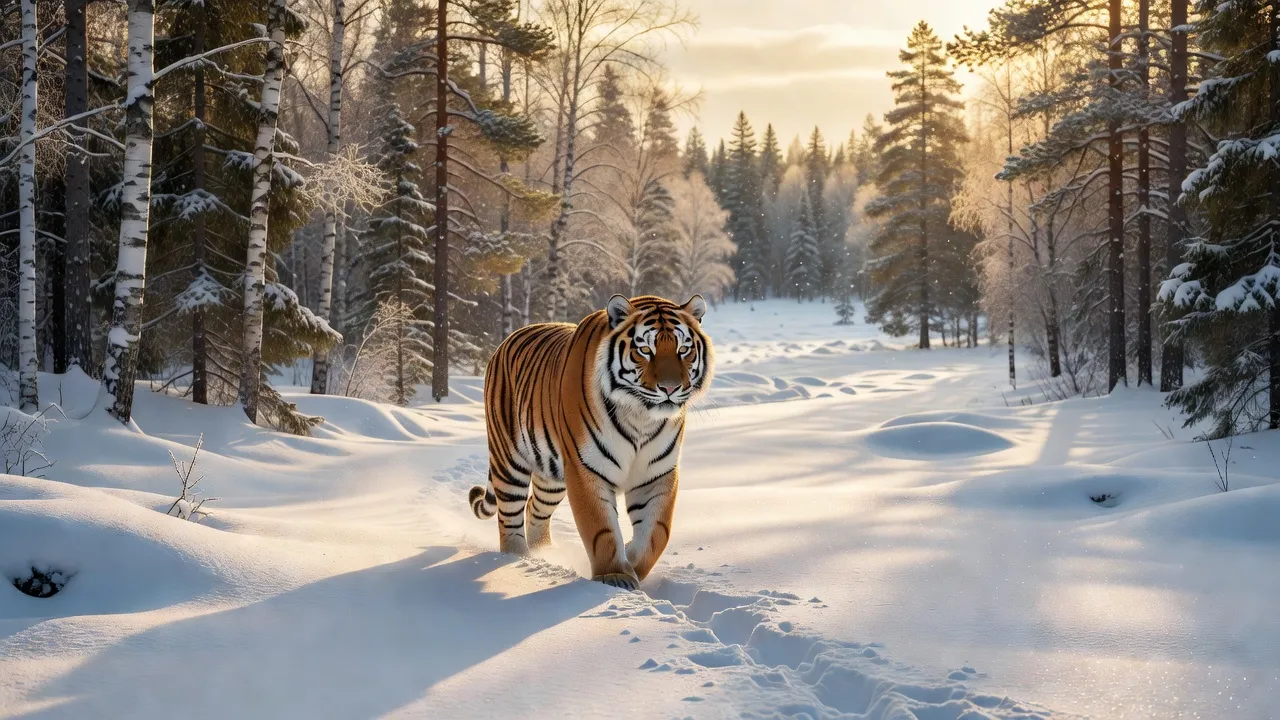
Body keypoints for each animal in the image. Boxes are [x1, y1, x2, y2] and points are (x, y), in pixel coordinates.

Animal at [468, 294, 714, 590]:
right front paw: (615, 576)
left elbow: (656, 533)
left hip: (551, 478)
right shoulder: (586, 469)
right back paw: (517, 561)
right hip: (509, 461)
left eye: (683, 350)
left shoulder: (657, 473)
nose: (670, 388)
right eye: (645, 350)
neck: (641, 417)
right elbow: (601, 529)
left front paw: (632, 562)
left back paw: (543, 553)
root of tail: (508, 338)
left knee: (534, 509)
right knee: (510, 517)